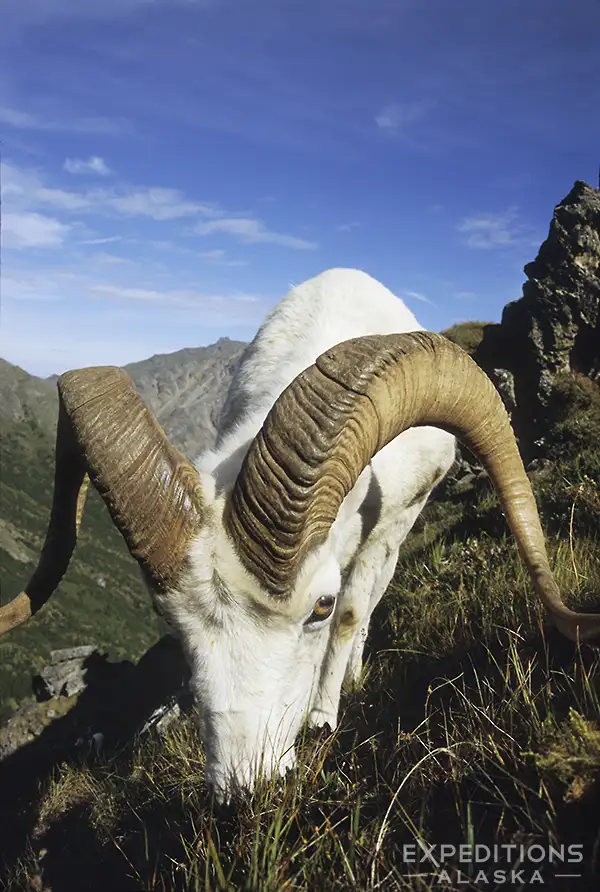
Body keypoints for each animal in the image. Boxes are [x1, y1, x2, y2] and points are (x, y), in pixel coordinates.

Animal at [1, 267, 599, 801]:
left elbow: (354, 615)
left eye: (320, 606)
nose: (247, 790)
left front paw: (323, 718)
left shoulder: (384, 530)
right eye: (167, 619)